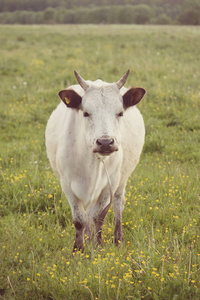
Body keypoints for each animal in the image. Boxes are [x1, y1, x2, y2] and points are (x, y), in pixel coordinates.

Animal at [45, 69, 145, 251]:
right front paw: (78, 249)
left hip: (121, 180)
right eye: (85, 113)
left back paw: (117, 239)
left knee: (117, 205)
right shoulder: (66, 184)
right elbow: (80, 219)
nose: (105, 142)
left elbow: (97, 216)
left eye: (120, 113)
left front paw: (96, 245)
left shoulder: (109, 183)